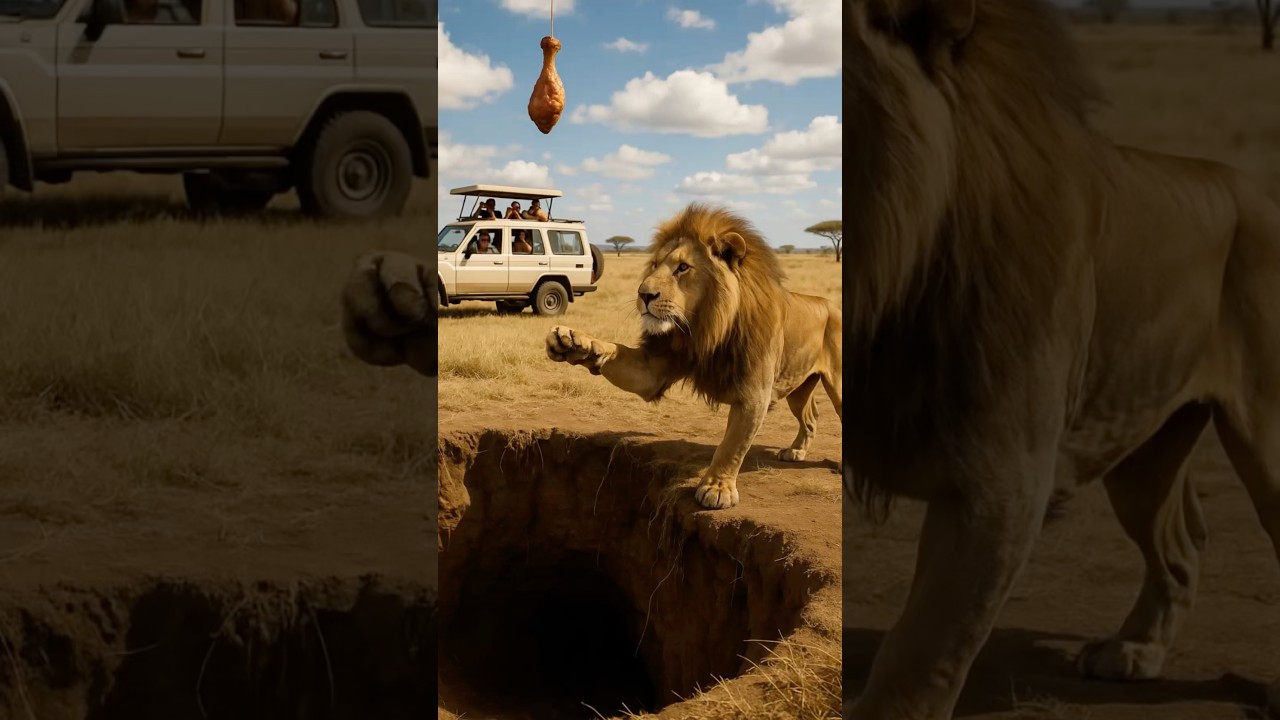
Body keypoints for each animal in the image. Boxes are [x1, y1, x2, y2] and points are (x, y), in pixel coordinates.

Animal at [544, 203, 842, 509]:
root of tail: (830, 303)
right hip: (798, 387)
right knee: (811, 415)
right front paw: (574, 342)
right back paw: (796, 451)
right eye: (654, 265)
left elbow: (732, 446)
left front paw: (717, 488)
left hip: (837, 385)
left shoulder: (754, 394)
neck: (705, 328)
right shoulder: (654, 368)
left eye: (683, 267)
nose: (643, 294)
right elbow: (614, 351)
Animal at [845, 0, 1280, 718]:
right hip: (1140, 442)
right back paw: (1136, 650)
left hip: (1265, 441)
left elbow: (918, 661)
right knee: (1182, 543)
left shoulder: (1002, 485)